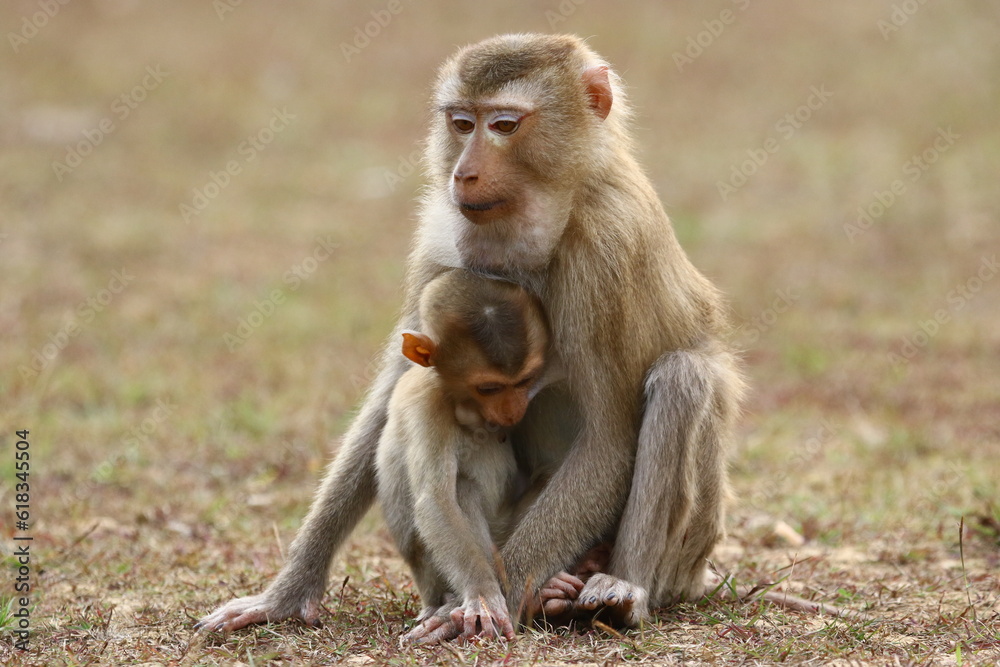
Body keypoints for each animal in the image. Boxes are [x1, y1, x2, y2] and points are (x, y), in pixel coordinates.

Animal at [374, 268, 548, 644]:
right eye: (489, 388)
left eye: (524, 380)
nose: (513, 410)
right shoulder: (428, 404)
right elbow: (436, 500)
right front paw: (483, 595)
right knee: (462, 489)